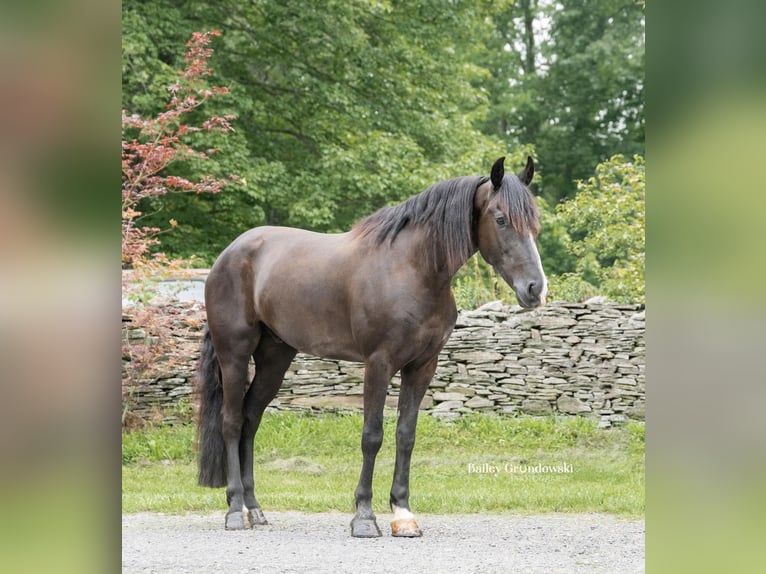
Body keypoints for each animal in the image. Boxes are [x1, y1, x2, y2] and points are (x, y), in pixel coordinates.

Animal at [195, 155, 548, 536]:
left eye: (535, 222)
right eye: (500, 219)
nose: (535, 289)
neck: (412, 270)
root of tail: (228, 255)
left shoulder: (422, 366)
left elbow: (406, 434)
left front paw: (403, 513)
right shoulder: (378, 363)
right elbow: (372, 435)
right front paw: (364, 516)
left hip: (275, 358)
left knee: (250, 419)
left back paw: (254, 508)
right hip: (234, 355)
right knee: (232, 422)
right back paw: (235, 511)